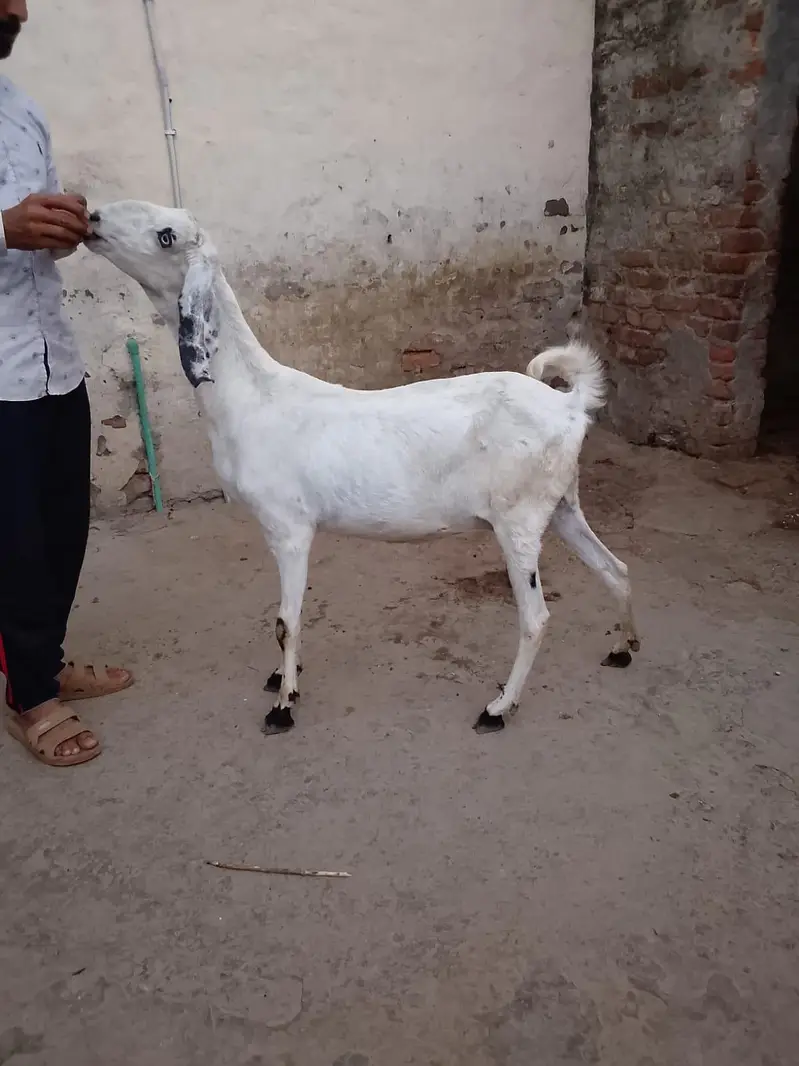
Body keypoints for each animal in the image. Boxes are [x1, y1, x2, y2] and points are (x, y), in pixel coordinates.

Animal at [86, 200, 640, 735]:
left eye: (166, 236)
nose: (90, 217)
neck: (254, 396)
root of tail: (569, 406)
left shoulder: (288, 527)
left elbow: (285, 621)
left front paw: (284, 704)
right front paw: (282, 678)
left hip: (518, 520)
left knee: (535, 617)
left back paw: (499, 708)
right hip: (561, 503)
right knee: (615, 569)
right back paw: (623, 648)